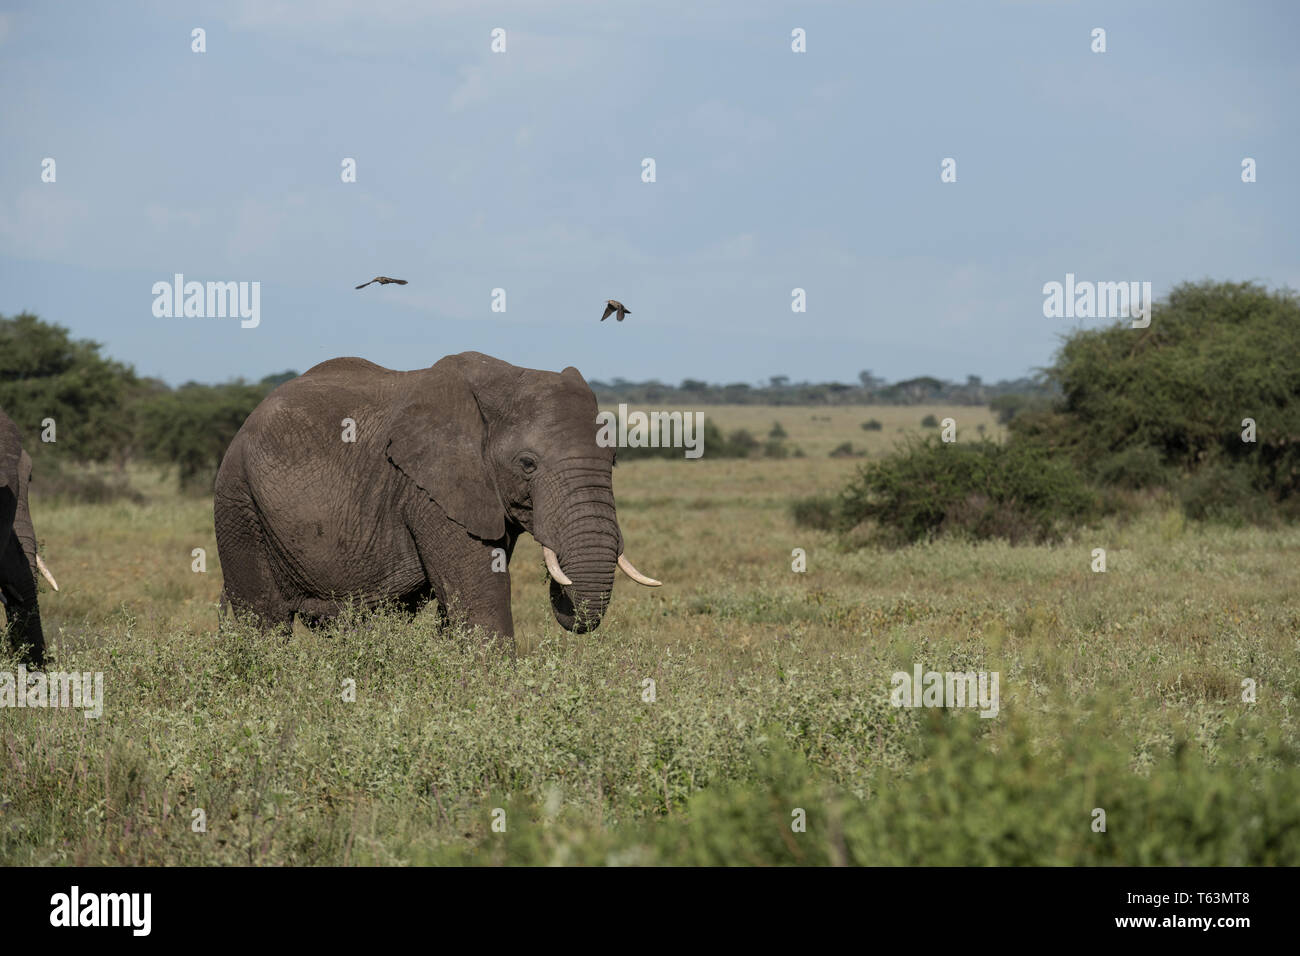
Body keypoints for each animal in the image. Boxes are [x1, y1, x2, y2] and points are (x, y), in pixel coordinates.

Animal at [215, 351, 660, 650]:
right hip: (239, 503)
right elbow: (478, 602)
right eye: (527, 464)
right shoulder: (429, 489)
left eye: (614, 460)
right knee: (265, 621)